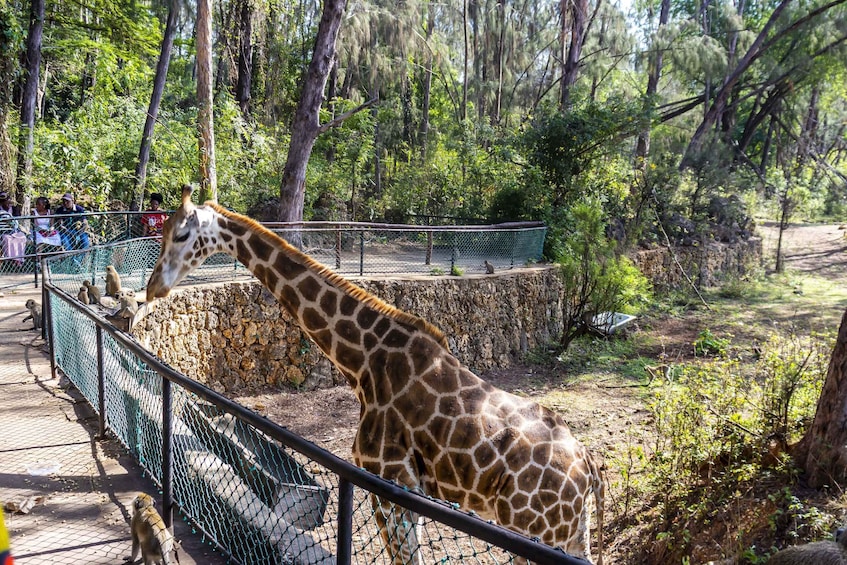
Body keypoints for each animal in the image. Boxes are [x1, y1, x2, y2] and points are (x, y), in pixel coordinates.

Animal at [149, 186, 608, 564]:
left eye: (182, 235)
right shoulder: (405, 489)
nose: (154, 287)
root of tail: (588, 468)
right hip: (571, 533)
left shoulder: (389, 482)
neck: (364, 362)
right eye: (164, 230)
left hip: (534, 530)